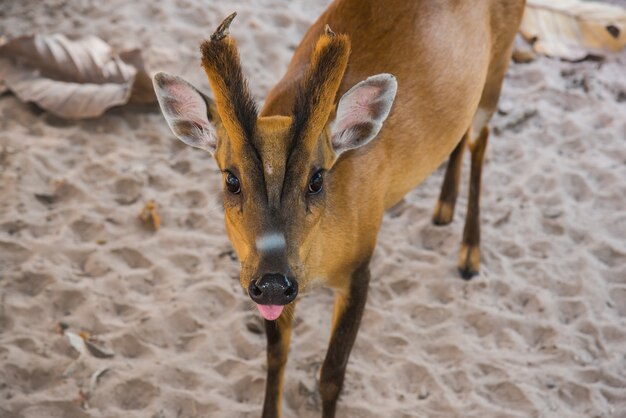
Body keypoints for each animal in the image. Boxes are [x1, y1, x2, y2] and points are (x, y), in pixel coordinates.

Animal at [154, 1, 524, 416]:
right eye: (232, 180)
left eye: (317, 179)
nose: (273, 282)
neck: (318, 263)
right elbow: (275, 357)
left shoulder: (360, 269)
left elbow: (331, 374)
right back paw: (443, 208)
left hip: (500, 63)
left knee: (481, 137)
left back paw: (469, 253)